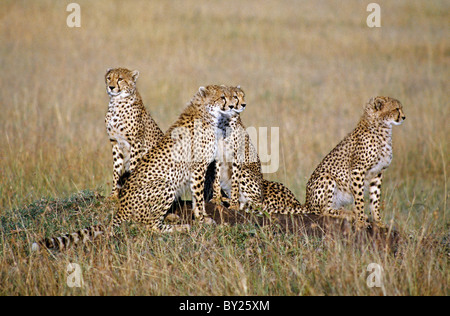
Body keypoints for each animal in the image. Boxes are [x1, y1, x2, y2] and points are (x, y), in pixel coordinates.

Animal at [104, 68, 163, 199]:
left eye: (120, 79)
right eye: (109, 78)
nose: (111, 87)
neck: (116, 102)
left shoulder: (136, 142)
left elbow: (133, 166)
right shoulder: (115, 141)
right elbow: (116, 170)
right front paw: (114, 194)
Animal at [304, 95, 406, 226]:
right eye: (396, 109)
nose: (403, 117)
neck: (382, 127)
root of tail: (306, 202)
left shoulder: (378, 172)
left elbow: (375, 199)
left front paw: (378, 222)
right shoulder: (357, 170)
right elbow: (359, 199)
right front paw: (361, 221)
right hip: (326, 177)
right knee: (323, 210)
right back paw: (348, 214)